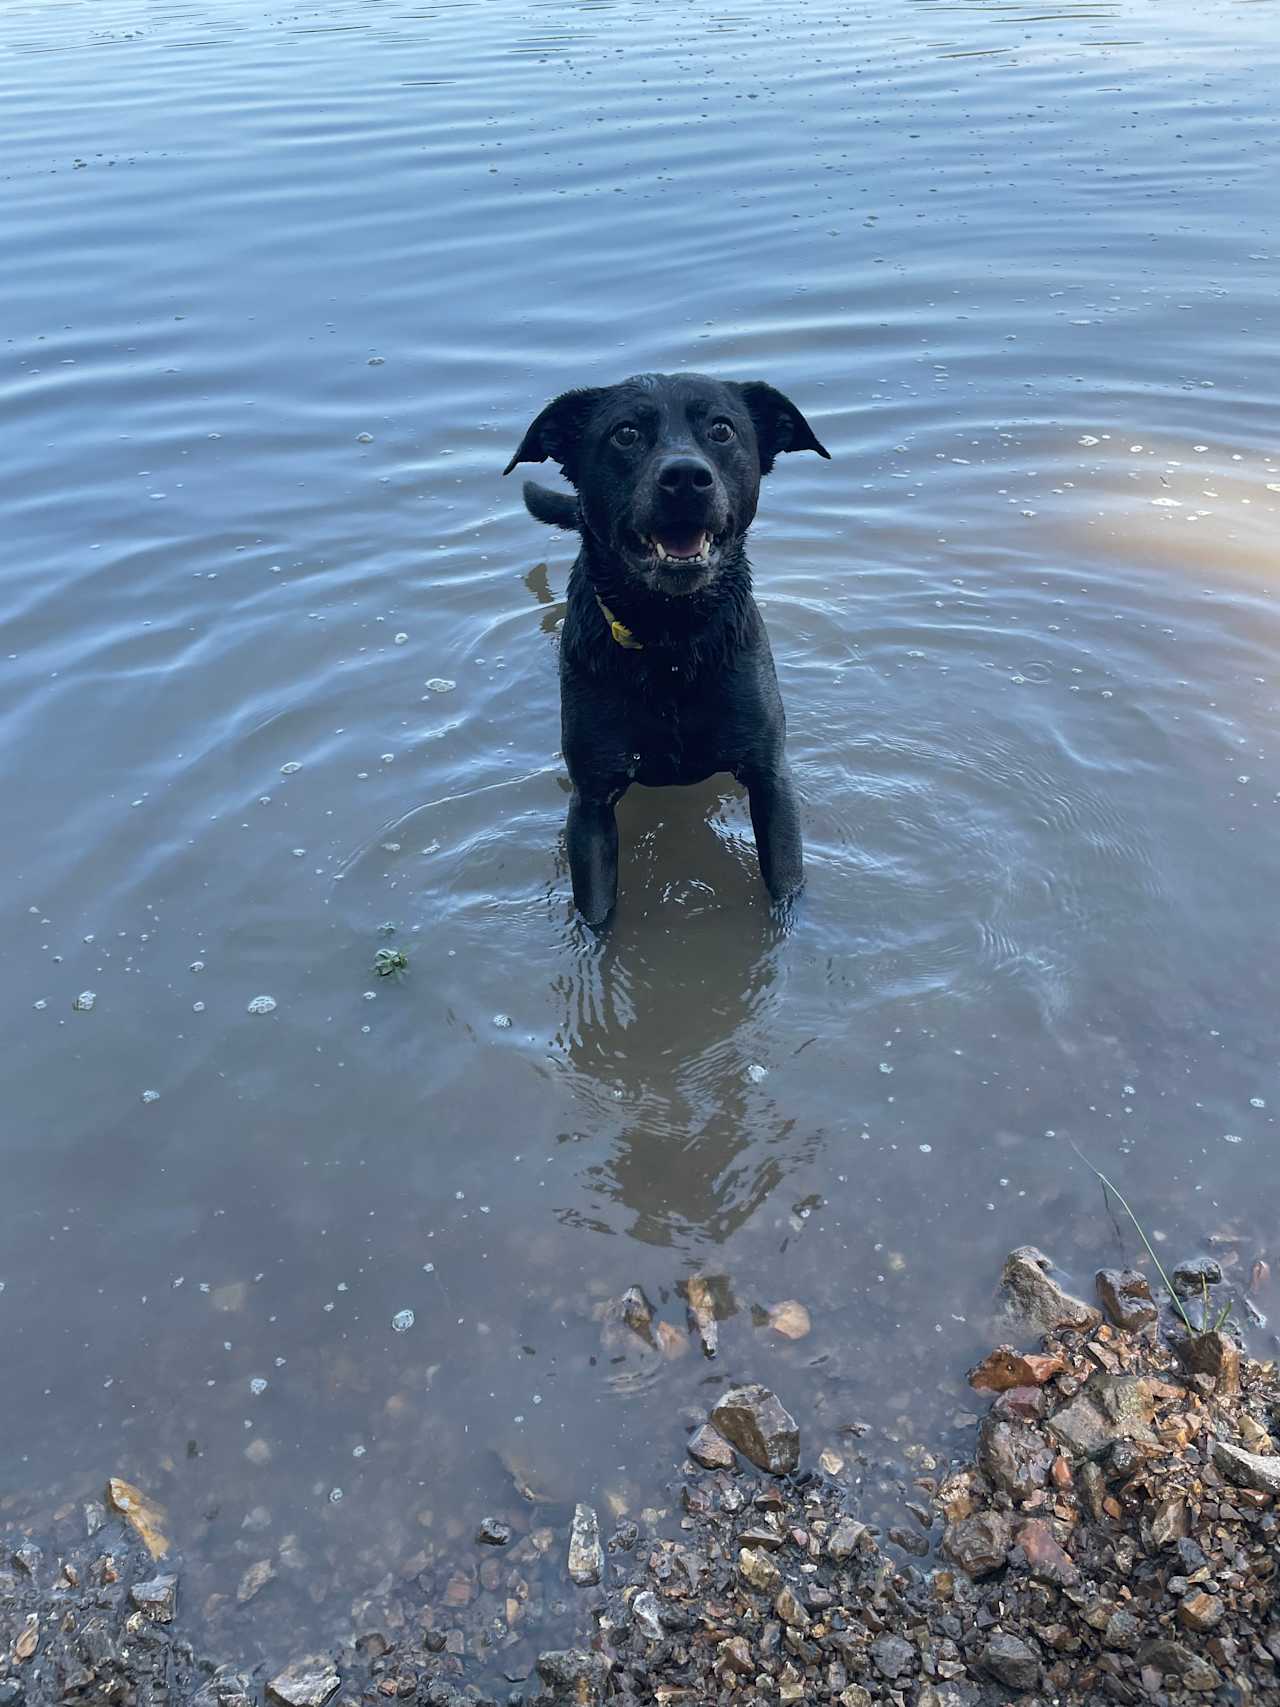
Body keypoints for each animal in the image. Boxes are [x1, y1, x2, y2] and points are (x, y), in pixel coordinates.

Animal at [505, 375, 836, 935]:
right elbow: (598, 915)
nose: (684, 477)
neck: (672, 643)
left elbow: (786, 889)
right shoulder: (591, 801)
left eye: (722, 429)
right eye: (625, 433)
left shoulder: (771, 780)